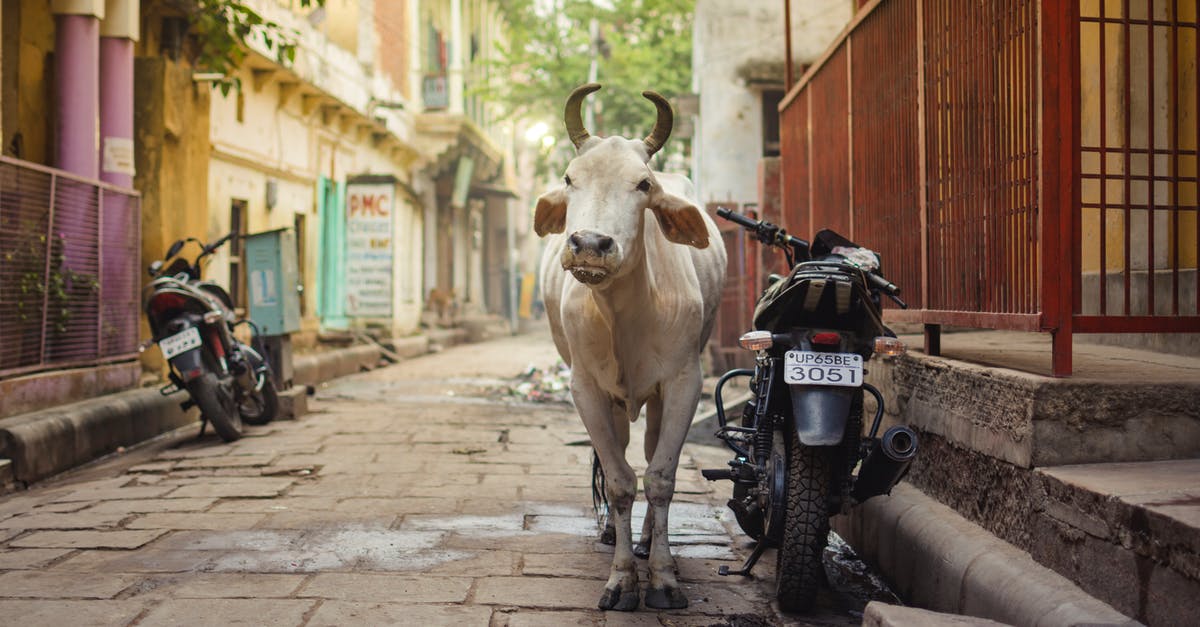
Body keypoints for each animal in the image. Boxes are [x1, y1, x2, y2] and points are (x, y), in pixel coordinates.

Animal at [537, 82, 724, 605]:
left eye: (643, 184)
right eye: (569, 177)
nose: (589, 245)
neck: (623, 312)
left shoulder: (684, 383)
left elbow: (659, 477)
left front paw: (662, 576)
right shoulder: (585, 387)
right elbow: (620, 479)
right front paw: (622, 578)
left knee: (651, 446)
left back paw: (645, 543)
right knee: (616, 451)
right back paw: (612, 535)